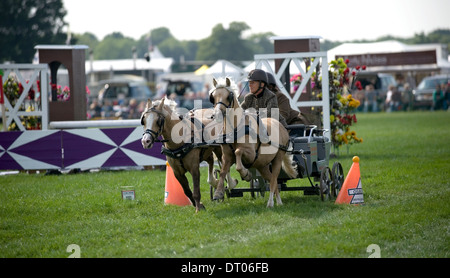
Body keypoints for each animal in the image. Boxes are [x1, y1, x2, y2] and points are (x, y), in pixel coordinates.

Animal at [209, 77, 298, 207]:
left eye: (228, 96)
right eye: (213, 96)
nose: (216, 115)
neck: (236, 129)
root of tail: (281, 126)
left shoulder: (250, 154)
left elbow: (238, 153)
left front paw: (246, 174)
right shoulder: (226, 156)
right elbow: (223, 171)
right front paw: (219, 193)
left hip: (277, 159)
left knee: (273, 180)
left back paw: (270, 203)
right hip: (262, 165)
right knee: (272, 180)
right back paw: (279, 201)